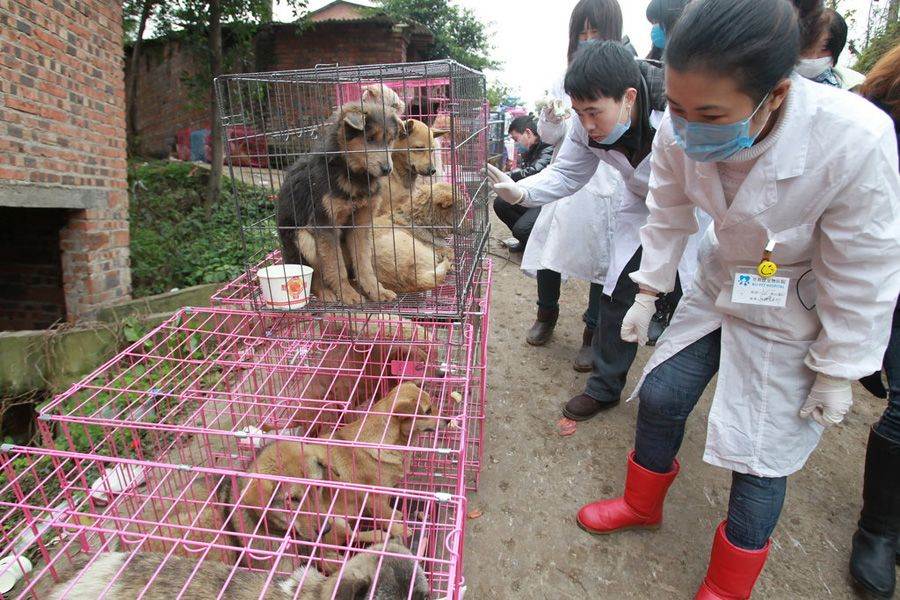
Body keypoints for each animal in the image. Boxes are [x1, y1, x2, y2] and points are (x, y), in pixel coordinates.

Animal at [274, 101, 400, 304]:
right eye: (370, 139)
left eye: (390, 140)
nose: (387, 169)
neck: (351, 172)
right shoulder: (325, 225)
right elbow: (335, 266)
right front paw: (348, 294)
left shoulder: (360, 225)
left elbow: (364, 264)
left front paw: (376, 291)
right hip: (303, 238)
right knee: (314, 275)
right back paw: (326, 293)